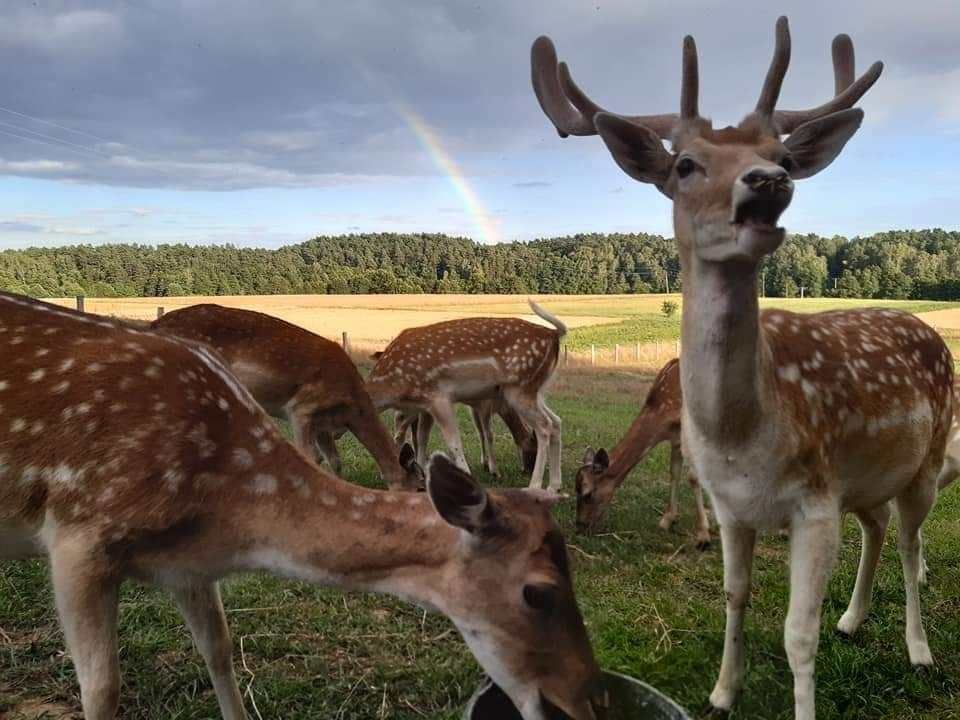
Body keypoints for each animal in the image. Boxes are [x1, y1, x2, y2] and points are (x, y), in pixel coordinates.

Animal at [153, 300, 420, 492]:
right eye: (419, 488)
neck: (350, 404)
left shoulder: (324, 425)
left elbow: (335, 460)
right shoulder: (301, 407)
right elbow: (309, 456)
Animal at [366, 300, 564, 492]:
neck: (391, 382)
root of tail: (554, 334)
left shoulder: (438, 397)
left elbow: (455, 443)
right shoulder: (425, 405)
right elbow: (426, 437)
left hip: (519, 388)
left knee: (544, 426)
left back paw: (534, 486)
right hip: (534, 390)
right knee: (556, 421)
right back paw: (554, 486)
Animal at [568, 358, 712, 548]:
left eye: (588, 494)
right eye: (575, 490)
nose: (580, 527)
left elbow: (693, 477)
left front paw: (703, 535)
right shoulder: (676, 438)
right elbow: (674, 473)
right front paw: (667, 520)